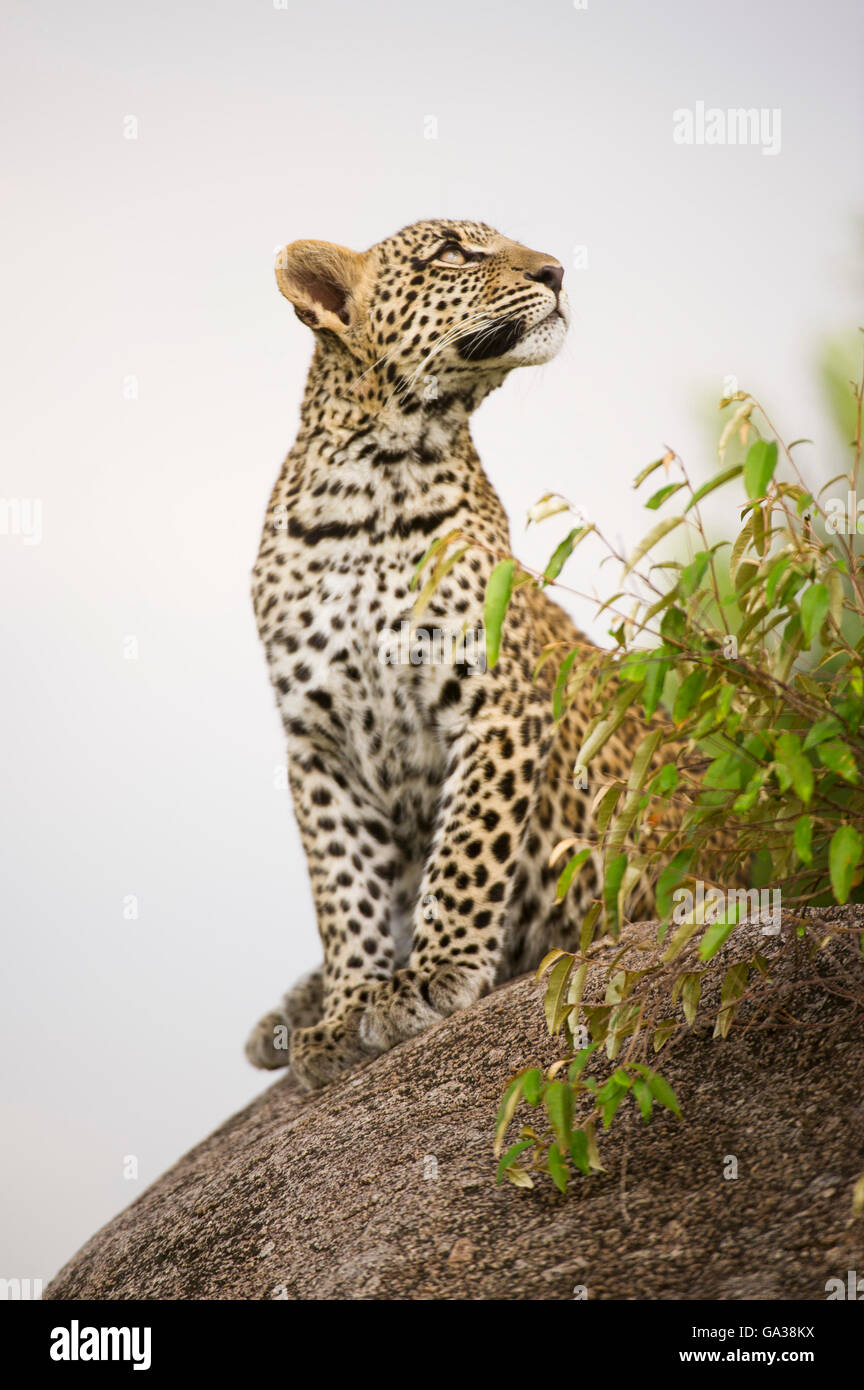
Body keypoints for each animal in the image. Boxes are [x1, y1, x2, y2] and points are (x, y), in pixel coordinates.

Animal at [247, 216, 666, 1089]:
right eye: (451, 252)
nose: (557, 271)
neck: (374, 481)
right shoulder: (316, 741)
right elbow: (342, 886)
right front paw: (347, 1006)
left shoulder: (495, 702)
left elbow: (468, 849)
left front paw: (432, 974)